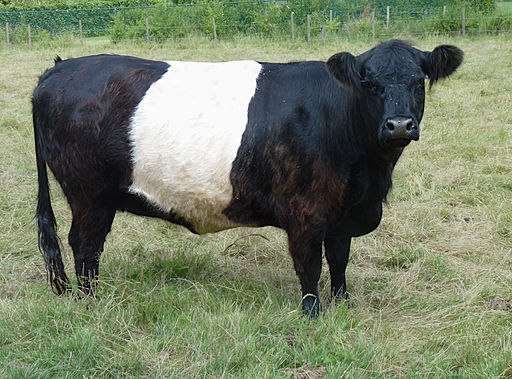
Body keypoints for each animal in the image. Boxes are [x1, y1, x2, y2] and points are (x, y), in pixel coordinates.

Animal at [33, 39, 464, 318]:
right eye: (369, 84)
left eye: (418, 81)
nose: (399, 125)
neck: (369, 176)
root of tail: (60, 67)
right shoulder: (305, 214)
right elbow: (310, 267)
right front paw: (313, 316)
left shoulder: (341, 213)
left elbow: (339, 261)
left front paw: (343, 305)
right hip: (90, 195)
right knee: (85, 246)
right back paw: (91, 301)